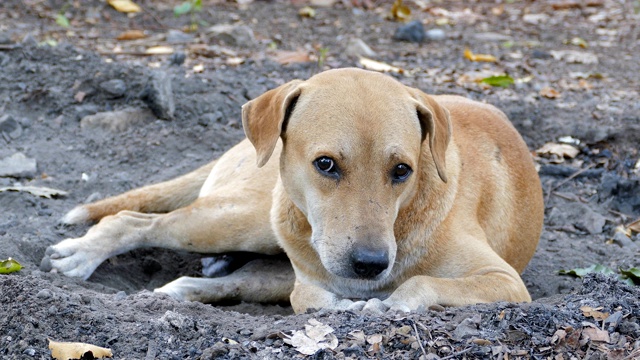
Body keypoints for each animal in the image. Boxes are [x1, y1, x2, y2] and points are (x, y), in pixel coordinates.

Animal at [40, 69, 544, 314]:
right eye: (326, 164)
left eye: (402, 170)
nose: (370, 265)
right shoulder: (310, 281)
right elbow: (313, 299)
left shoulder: (504, 281)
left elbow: (421, 281)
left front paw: (390, 301)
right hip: (241, 220)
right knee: (134, 220)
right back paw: (81, 254)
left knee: (229, 280)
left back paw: (182, 291)